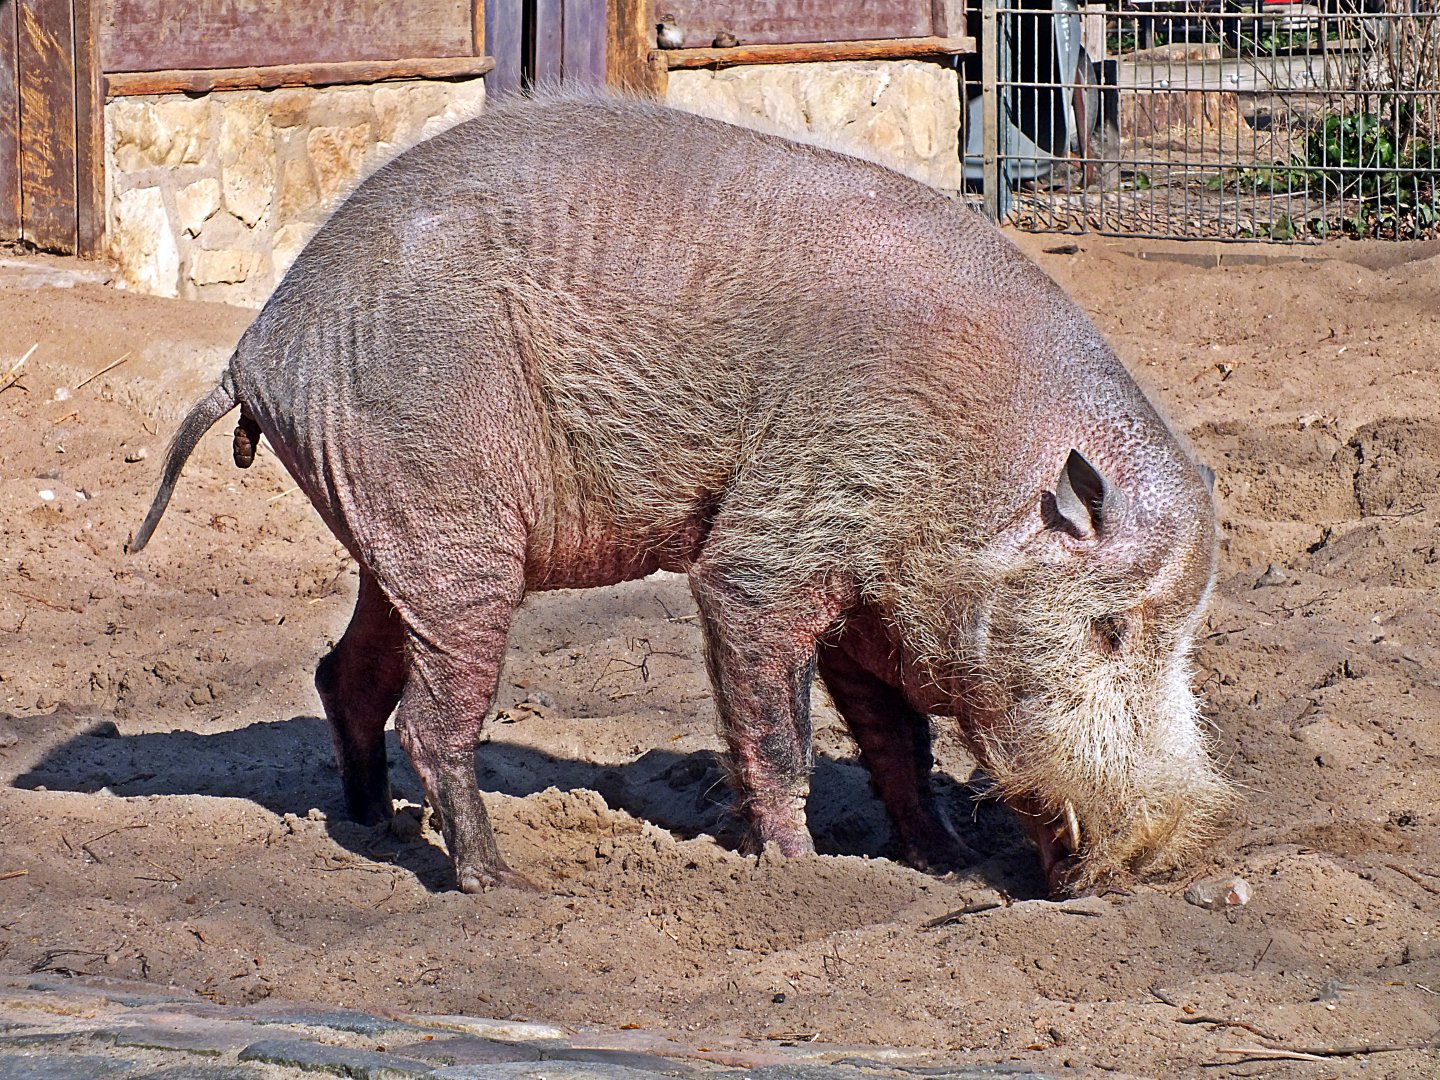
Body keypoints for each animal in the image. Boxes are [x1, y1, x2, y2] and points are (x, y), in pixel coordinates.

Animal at [130, 92, 1232, 895]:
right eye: (1109, 629)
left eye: (1185, 637)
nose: (1161, 851)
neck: (970, 476)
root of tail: (258, 347)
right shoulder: (768, 554)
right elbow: (782, 730)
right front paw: (802, 878)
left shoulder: (868, 606)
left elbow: (899, 743)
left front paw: (946, 864)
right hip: (454, 527)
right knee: (433, 719)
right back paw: (499, 882)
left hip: (399, 533)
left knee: (347, 676)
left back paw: (375, 827)